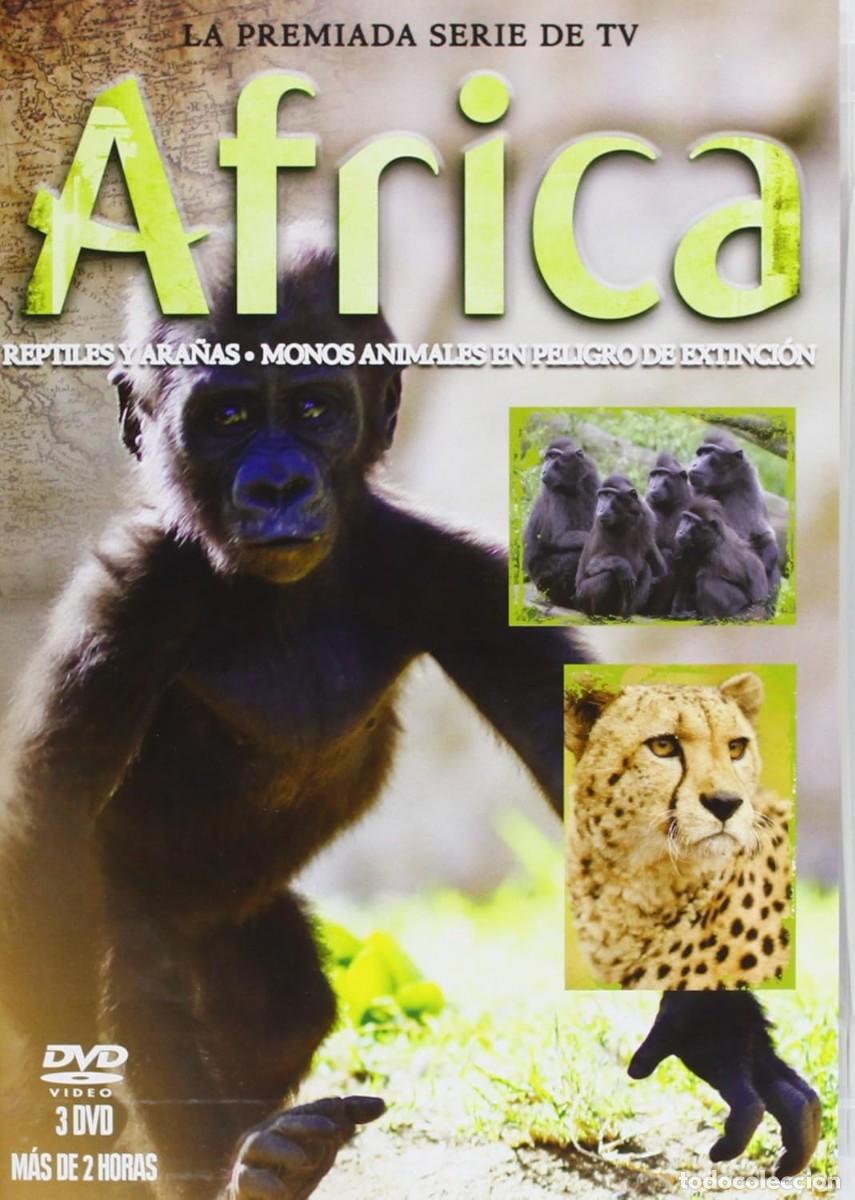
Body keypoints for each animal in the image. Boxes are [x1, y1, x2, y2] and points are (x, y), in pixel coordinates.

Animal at [523, 438, 600, 608]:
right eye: (547, 458)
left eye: (554, 457)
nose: (544, 470)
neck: (573, 485)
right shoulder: (555, 491)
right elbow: (561, 537)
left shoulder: (590, 477)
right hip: (544, 581)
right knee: (574, 555)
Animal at [574, 474, 666, 618]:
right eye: (601, 495)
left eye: (609, 495)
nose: (600, 508)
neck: (626, 517)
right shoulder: (600, 523)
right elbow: (592, 564)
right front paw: (623, 566)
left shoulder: (646, 513)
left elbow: (650, 549)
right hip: (583, 597)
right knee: (608, 576)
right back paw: (601, 617)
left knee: (646, 569)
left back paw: (625, 617)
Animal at [687, 431, 781, 598]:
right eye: (700, 453)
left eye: (709, 452)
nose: (694, 463)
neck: (723, 487)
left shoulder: (750, 486)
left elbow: (763, 536)